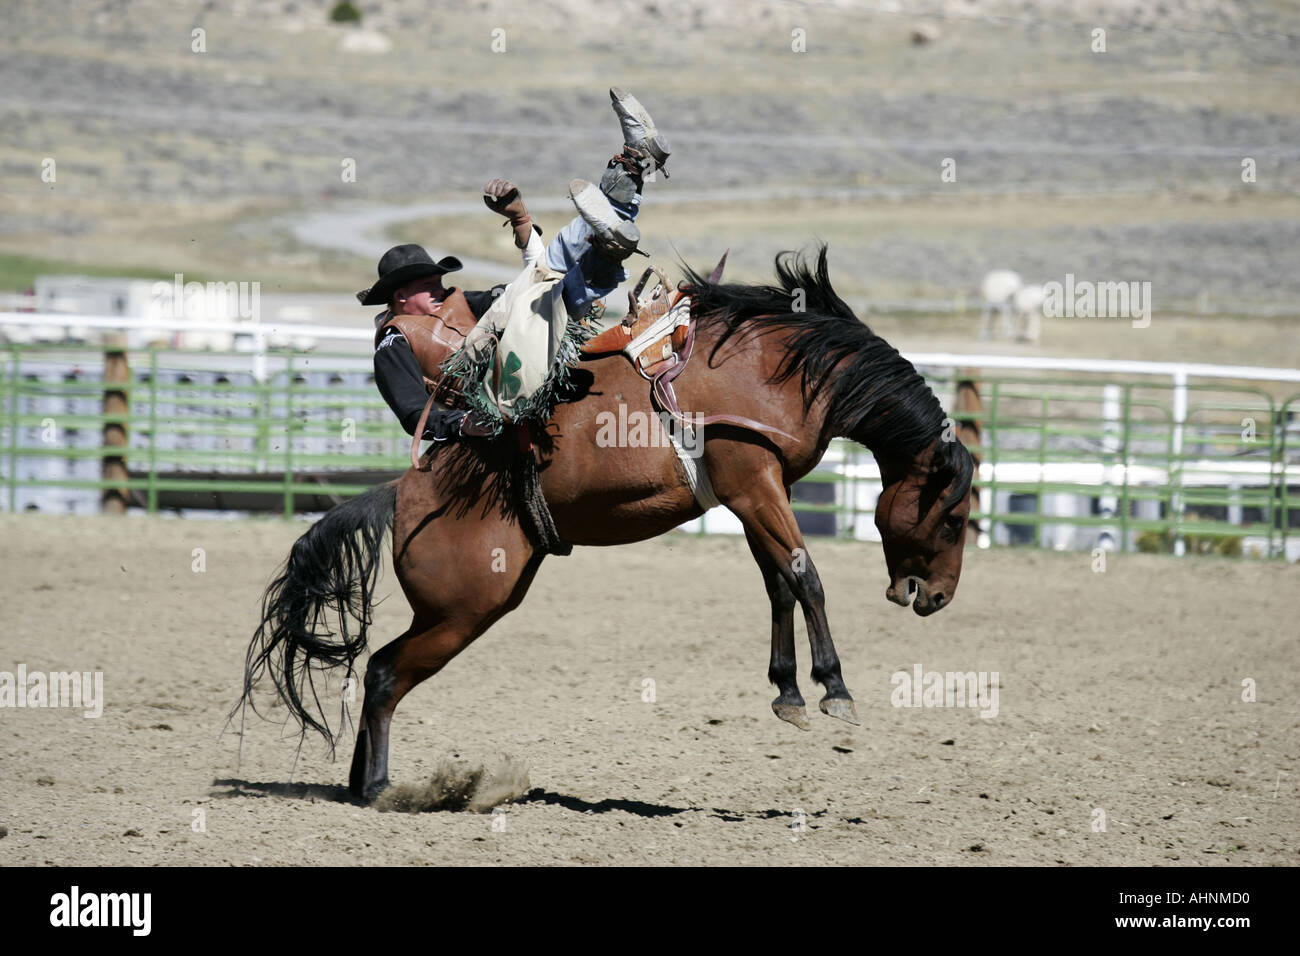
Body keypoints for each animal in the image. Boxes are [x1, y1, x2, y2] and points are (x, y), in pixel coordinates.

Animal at [239, 247, 977, 801]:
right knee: (386, 673)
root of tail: (403, 491)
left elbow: (778, 585)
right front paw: (834, 689)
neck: (777, 367)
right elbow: (805, 576)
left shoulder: (753, 491)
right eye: (956, 518)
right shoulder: (752, 479)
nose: (938, 597)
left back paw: (365, 784)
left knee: (379, 670)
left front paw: (789, 692)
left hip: (473, 606)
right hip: (462, 609)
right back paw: (380, 788)